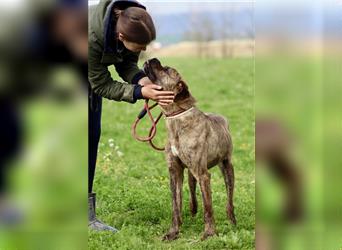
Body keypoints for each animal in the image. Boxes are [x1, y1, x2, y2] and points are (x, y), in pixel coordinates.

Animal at [143, 58, 236, 240]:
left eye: (166, 69)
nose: (153, 58)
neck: (177, 117)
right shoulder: (175, 171)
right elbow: (175, 205)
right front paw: (173, 232)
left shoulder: (203, 174)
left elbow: (208, 207)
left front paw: (209, 233)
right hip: (191, 174)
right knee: (193, 192)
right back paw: (193, 211)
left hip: (227, 167)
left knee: (229, 198)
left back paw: (232, 220)